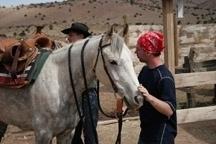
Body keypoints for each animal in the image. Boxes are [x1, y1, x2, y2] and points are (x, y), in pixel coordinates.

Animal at [0, 28, 143, 143]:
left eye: (132, 59)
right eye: (113, 61)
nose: (139, 98)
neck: (59, 82)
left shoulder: (66, 133)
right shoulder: (43, 134)